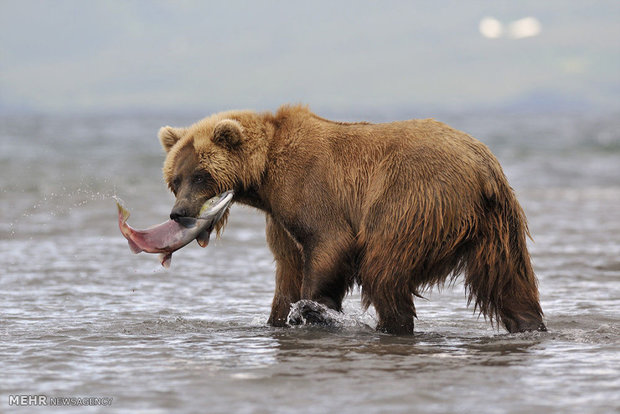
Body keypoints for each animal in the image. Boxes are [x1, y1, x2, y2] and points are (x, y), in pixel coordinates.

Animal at [157, 105, 544, 334]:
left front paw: (313, 309)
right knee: (508, 280)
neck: (264, 179)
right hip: (497, 225)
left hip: (414, 198)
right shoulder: (280, 220)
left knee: (383, 267)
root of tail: (483, 166)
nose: (179, 212)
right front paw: (279, 318)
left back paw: (392, 325)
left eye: (201, 176)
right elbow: (288, 269)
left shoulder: (309, 188)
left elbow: (329, 243)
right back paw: (529, 324)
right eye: (175, 179)